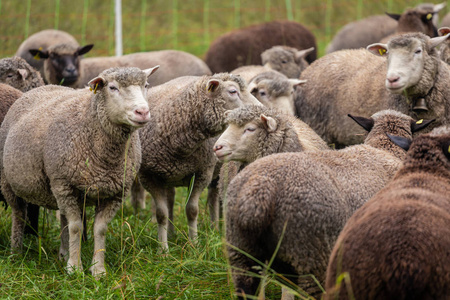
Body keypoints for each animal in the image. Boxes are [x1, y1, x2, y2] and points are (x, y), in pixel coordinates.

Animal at [0, 65, 158, 276]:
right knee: (19, 214)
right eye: (113, 88)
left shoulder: (115, 192)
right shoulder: (64, 184)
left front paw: (98, 270)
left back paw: (62, 254)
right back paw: (16, 252)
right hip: (12, 182)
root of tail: (44, 86)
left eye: (146, 85)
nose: (142, 112)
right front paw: (75, 268)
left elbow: (99, 228)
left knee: (63, 219)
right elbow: (75, 227)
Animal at [134, 72, 260, 251]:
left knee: (214, 197)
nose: (261, 110)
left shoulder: (203, 173)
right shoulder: (149, 176)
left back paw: (215, 228)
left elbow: (192, 210)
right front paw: (163, 249)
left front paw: (194, 244)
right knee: (171, 200)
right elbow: (161, 214)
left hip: (218, 170)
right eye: (233, 91)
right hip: (169, 175)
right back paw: (171, 233)